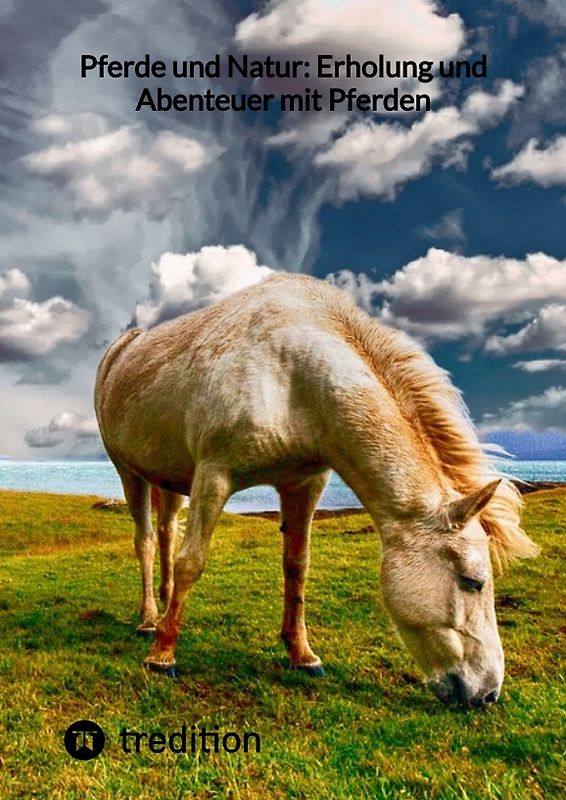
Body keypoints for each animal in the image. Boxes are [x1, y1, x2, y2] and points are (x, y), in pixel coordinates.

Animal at [94, 273, 537, 706]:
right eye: (473, 582)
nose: (488, 693)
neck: (293, 376)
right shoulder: (213, 476)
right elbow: (192, 561)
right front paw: (162, 655)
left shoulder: (304, 483)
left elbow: (297, 568)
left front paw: (302, 654)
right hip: (129, 472)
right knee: (147, 541)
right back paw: (150, 620)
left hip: (170, 479)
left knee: (167, 532)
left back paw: (164, 605)